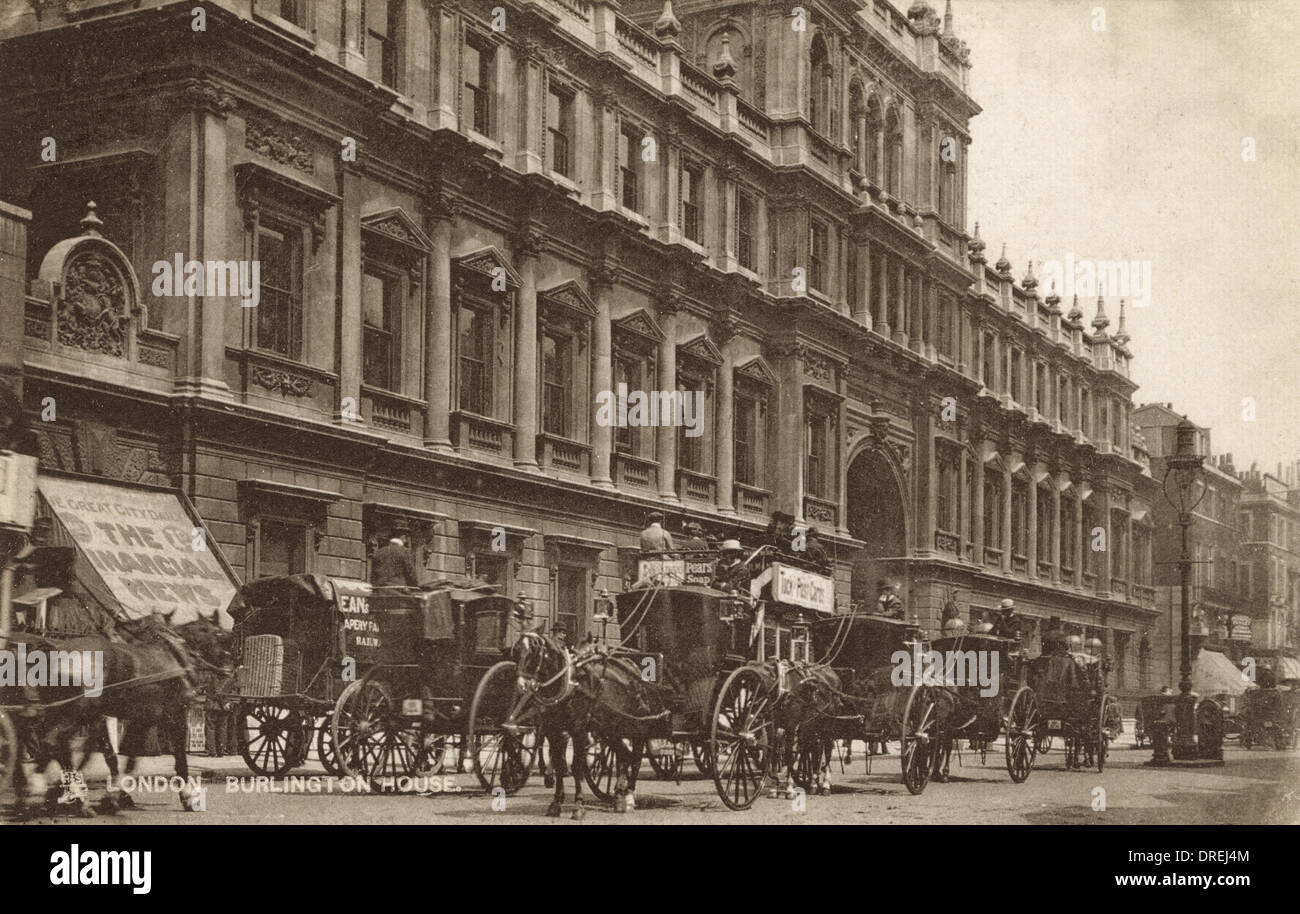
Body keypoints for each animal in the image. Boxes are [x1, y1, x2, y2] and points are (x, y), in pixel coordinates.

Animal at [11, 611, 233, 816]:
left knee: (52, 745)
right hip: (75, 712)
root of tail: (56, 652)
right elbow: (179, 756)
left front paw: (114, 795)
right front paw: (187, 796)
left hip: (63, 712)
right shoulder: (174, 714)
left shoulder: (142, 718)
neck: (175, 656)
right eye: (222, 636)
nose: (229, 668)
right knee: (50, 743)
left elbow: (128, 758)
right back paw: (39, 788)